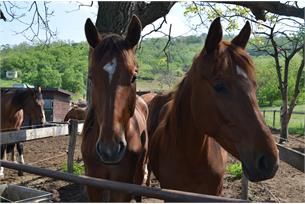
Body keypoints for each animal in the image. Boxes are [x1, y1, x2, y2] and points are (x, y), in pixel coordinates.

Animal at [80, 15, 148, 202]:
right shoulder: (93, 186)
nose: (109, 150)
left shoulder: (122, 187)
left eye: (134, 76)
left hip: (140, 169)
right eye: (91, 77)